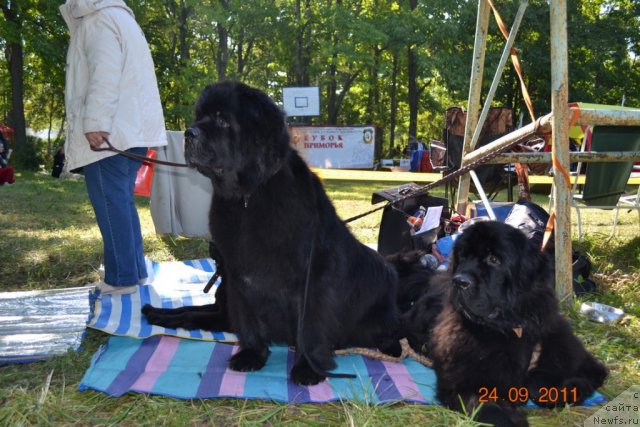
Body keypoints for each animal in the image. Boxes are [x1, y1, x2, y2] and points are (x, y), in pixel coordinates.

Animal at [144, 83, 400, 388]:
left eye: (222, 119)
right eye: (200, 117)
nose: (188, 133)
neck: (248, 197)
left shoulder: (313, 279)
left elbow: (311, 326)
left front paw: (308, 368)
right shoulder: (240, 278)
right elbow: (235, 319)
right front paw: (252, 355)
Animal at [402, 221, 608, 427]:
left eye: (493, 259)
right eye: (463, 257)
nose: (460, 281)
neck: (507, 328)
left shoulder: (574, 356)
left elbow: (560, 382)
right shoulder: (460, 385)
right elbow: (491, 410)